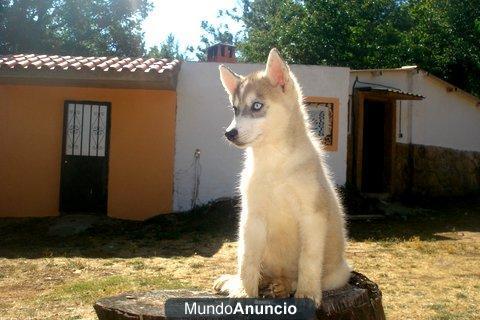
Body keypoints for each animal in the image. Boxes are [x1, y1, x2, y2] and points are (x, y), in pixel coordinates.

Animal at [213, 48, 348, 304]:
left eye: (256, 106)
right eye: (235, 109)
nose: (229, 133)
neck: (275, 162)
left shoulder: (312, 215)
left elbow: (308, 260)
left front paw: (307, 294)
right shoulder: (253, 216)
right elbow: (248, 260)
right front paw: (245, 292)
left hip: (338, 275)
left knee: (296, 276)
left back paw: (283, 286)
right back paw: (241, 282)